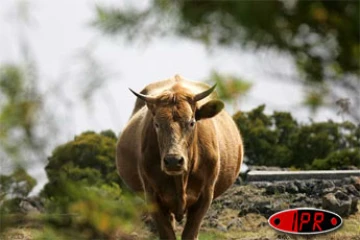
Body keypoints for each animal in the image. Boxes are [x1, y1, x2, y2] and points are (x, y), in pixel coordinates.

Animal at [116, 74, 243, 238]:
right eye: (156, 124)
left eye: (191, 122)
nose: (173, 161)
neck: (180, 180)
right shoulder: (152, 196)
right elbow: (167, 234)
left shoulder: (205, 195)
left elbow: (190, 234)